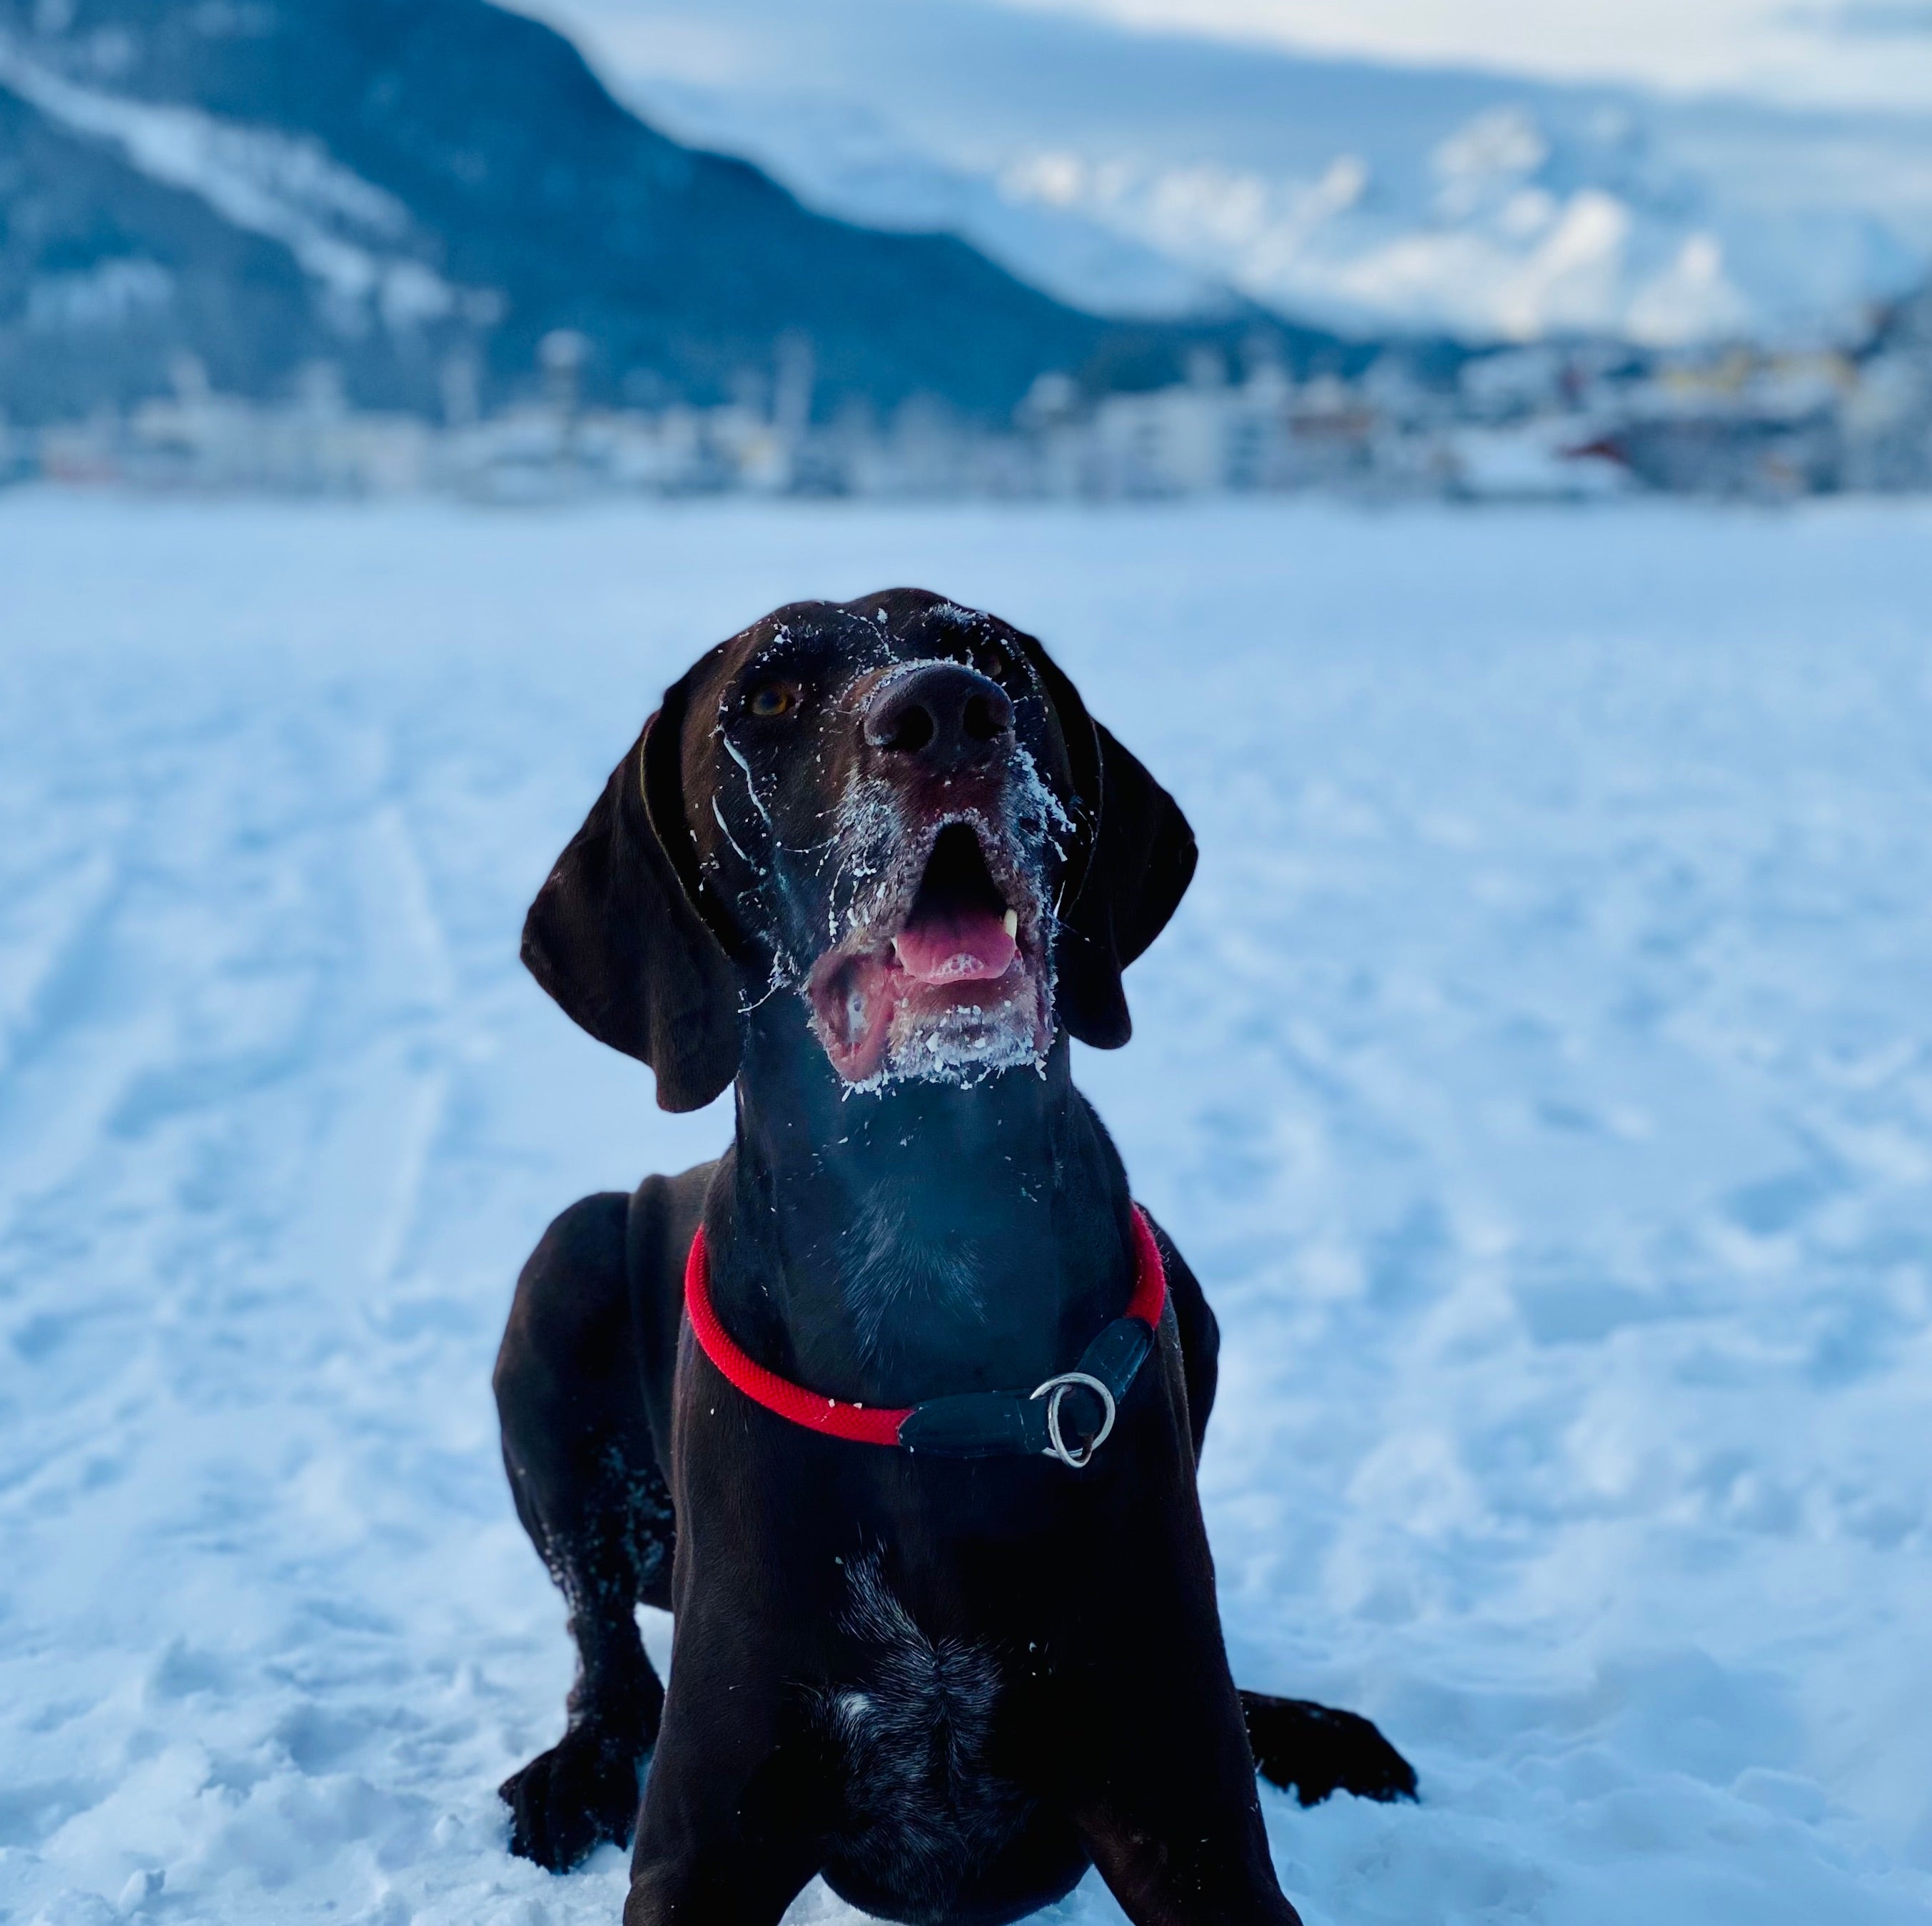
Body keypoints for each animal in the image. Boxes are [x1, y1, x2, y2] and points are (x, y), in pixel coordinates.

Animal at [490, 591, 1414, 1924]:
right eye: (766, 697)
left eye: (988, 656)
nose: (945, 713)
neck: (929, 1252)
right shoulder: (706, 1841)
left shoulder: (1187, 1821)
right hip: (560, 1268)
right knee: (604, 1642)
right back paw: (579, 1767)